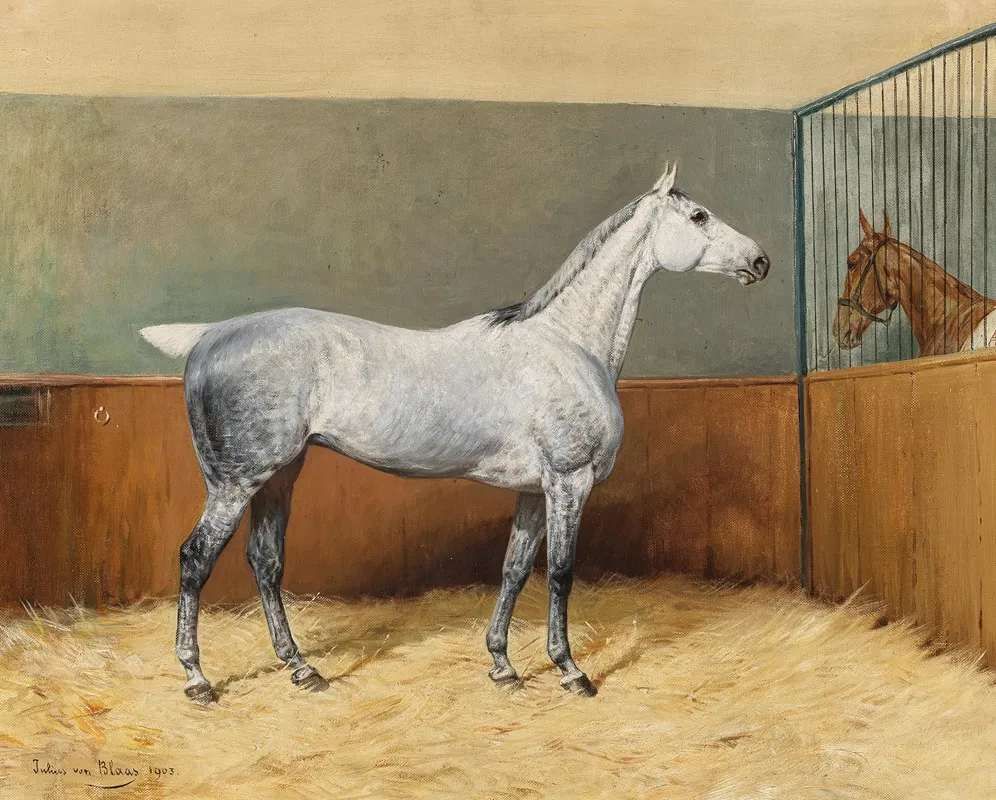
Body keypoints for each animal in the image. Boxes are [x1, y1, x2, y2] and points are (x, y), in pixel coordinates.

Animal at [139, 165, 769, 705]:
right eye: (698, 216)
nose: (760, 261)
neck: (568, 344)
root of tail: (210, 334)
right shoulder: (569, 483)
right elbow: (561, 574)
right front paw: (570, 670)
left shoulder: (533, 492)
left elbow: (514, 570)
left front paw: (503, 666)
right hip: (235, 483)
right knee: (195, 559)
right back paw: (197, 679)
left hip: (279, 476)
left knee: (266, 563)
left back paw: (301, 669)